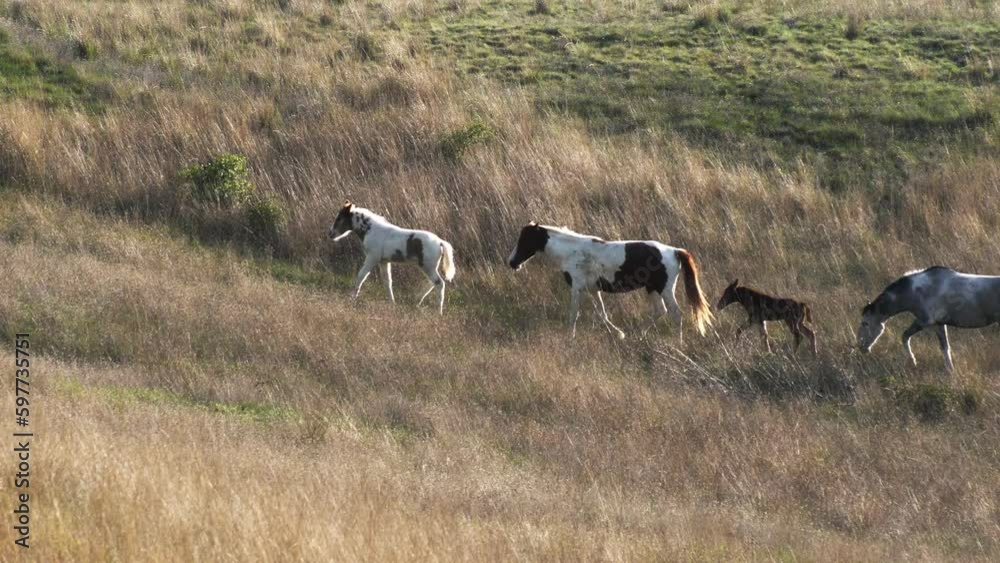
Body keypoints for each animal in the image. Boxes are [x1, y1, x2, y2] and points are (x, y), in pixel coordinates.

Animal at [507, 222, 713, 340]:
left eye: (525, 239)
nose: (512, 262)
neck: (571, 252)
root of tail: (675, 251)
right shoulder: (593, 290)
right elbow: (602, 315)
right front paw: (620, 334)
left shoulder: (577, 288)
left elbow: (574, 315)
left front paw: (570, 339)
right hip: (652, 289)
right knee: (660, 311)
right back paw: (638, 336)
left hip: (665, 289)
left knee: (676, 314)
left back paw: (677, 344)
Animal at [857, 266, 1000, 371]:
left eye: (865, 323)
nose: (861, 348)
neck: (915, 291)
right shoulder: (938, 324)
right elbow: (945, 348)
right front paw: (950, 371)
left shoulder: (924, 321)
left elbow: (905, 336)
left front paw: (912, 361)